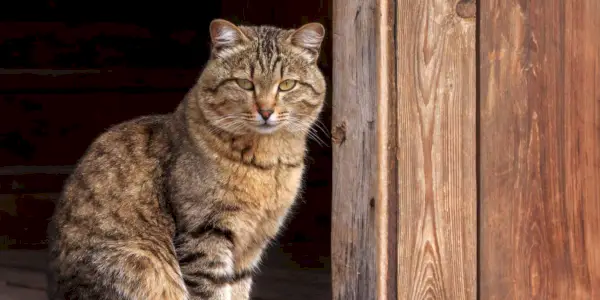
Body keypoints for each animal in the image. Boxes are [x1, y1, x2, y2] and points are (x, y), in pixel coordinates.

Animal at [45, 19, 328, 300]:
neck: (267, 163)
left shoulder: (253, 242)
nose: (266, 111)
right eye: (245, 84)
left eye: (287, 85)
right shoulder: (205, 234)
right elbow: (212, 291)